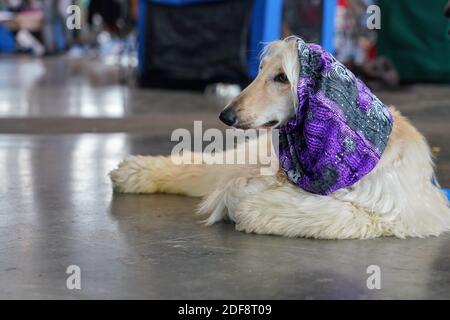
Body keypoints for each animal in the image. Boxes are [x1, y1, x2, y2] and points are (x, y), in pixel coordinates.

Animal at [110, 36, 450, 239]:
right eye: (260, 70)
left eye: (282, 77)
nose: (226, 115)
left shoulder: (390, 210)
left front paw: (242, 202)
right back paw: (133, 172)